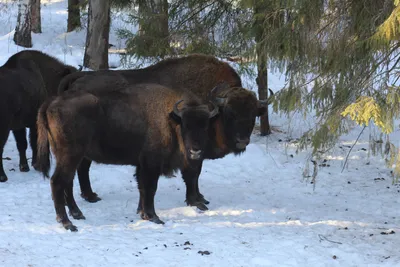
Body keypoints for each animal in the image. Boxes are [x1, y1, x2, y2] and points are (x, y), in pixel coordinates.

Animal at [0, 50, 77, 183]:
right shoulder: (33, 123)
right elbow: (34, 141)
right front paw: (36, 165)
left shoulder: (18, 126)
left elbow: (22, 144)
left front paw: (24, 167)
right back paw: (3, 177)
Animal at [35, 80, 219, 232]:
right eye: (186, 125)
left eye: (205, 125)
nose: (196, 150)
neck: (172, 119)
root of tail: (52, 101)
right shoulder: (151, 164)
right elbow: (150, 188)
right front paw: (154, 217)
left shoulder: (141, 165)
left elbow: (142, 188)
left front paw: (143, 213)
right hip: (70, 156)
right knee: (58, 182)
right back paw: (68, 223)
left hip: (72, 157)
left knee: (68, 182)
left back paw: (77, 214)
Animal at [56, 54, 274, 207]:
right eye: (230, 112)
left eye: (253, 114)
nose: (242, 140)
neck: (212, 106)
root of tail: (80, 78)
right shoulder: (191, 152)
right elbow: (192, 175)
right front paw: (196, 200)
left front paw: (200, 197)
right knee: (82, 167)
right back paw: (89, 196)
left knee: (82, 167)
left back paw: (90, 196)